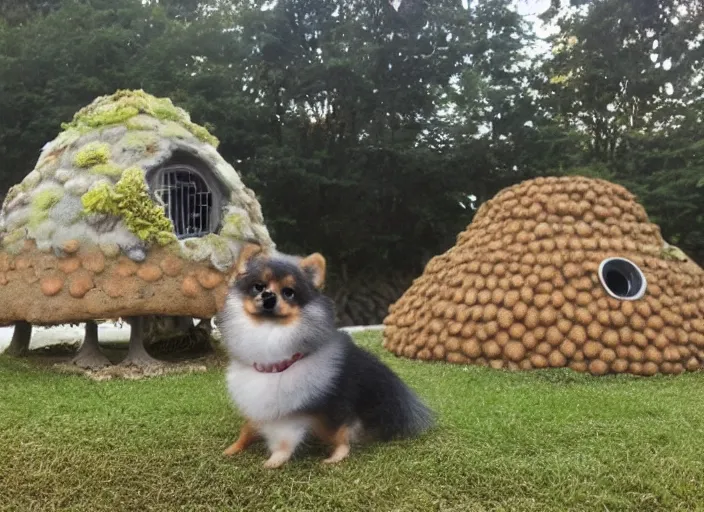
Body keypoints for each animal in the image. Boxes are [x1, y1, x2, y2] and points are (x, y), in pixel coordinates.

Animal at [214, 244, 434, 468]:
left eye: (288, 292)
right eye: (258, 286)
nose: (268, 296)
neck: (269, 333)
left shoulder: (291, 415)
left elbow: (284, 443)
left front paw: (272, 462)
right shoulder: (257, 403)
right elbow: (247, 428)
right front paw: (233, 448)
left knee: (343, 438)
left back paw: (334, 457)